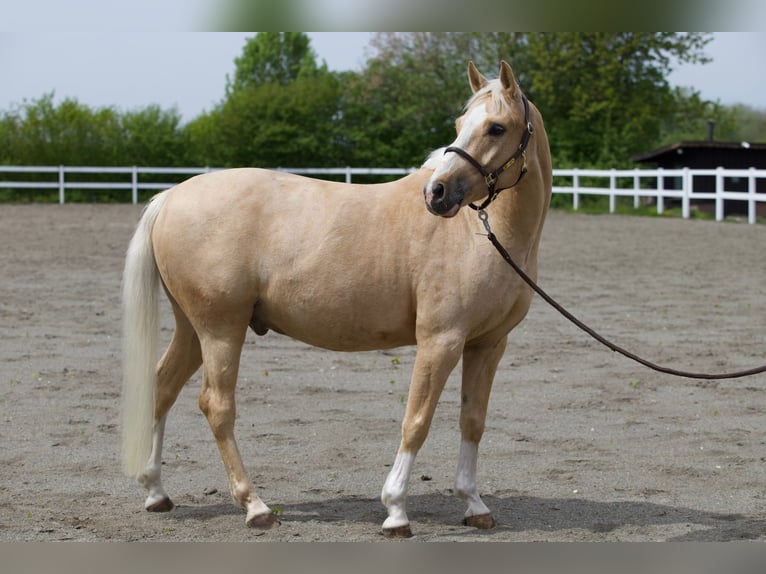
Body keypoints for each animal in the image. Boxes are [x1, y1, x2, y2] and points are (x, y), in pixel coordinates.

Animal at [120, 63, 552, 540]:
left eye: (496, 127)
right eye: (460, 125)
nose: (436, 193)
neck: (480, 235)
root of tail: (169, 197)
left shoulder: (487, 344)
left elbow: (472, 420)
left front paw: (474, 504)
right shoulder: (440, 341)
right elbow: (416, 420)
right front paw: (395, 510)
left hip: (192, 330)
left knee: (162, 388)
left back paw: (156, 492)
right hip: (220, 330)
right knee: (217, 406)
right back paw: (255, 506)